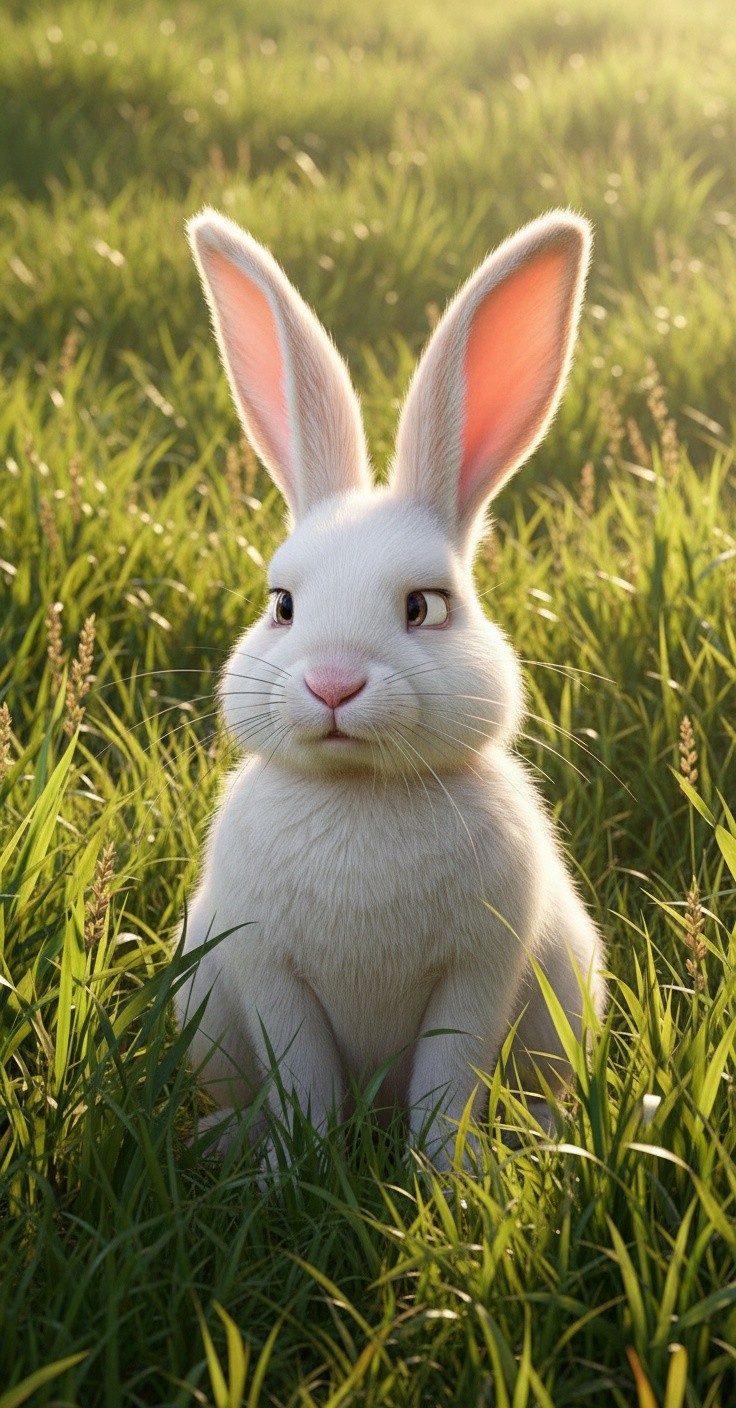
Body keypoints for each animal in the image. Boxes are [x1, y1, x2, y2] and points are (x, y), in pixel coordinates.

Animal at [175, 205, 607, 1169]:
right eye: (282, 605)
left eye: (424, 606)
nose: (334, 684)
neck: (360, 794)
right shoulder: (270, 973)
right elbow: (304, 1083)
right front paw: (290, 1174)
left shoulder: (479, 972)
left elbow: (446, 1086)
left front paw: (443, 1179)